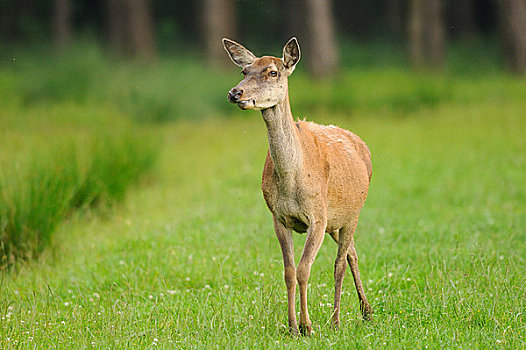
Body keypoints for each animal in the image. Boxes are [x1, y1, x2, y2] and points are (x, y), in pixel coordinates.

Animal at [225, 37, 374, 334]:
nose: (235, 93)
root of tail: (362, 145)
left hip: (352, 213)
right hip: (336, 221)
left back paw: (336, 320)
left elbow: (305, 269)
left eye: (273, 72)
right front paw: (292, 326)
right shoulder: (279, 218)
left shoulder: (317, 216)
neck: (293, 181)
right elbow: (289, 272)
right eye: (244, 71)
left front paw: (308, 325)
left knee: (340, 262)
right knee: (352, 253)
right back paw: (366, 311)